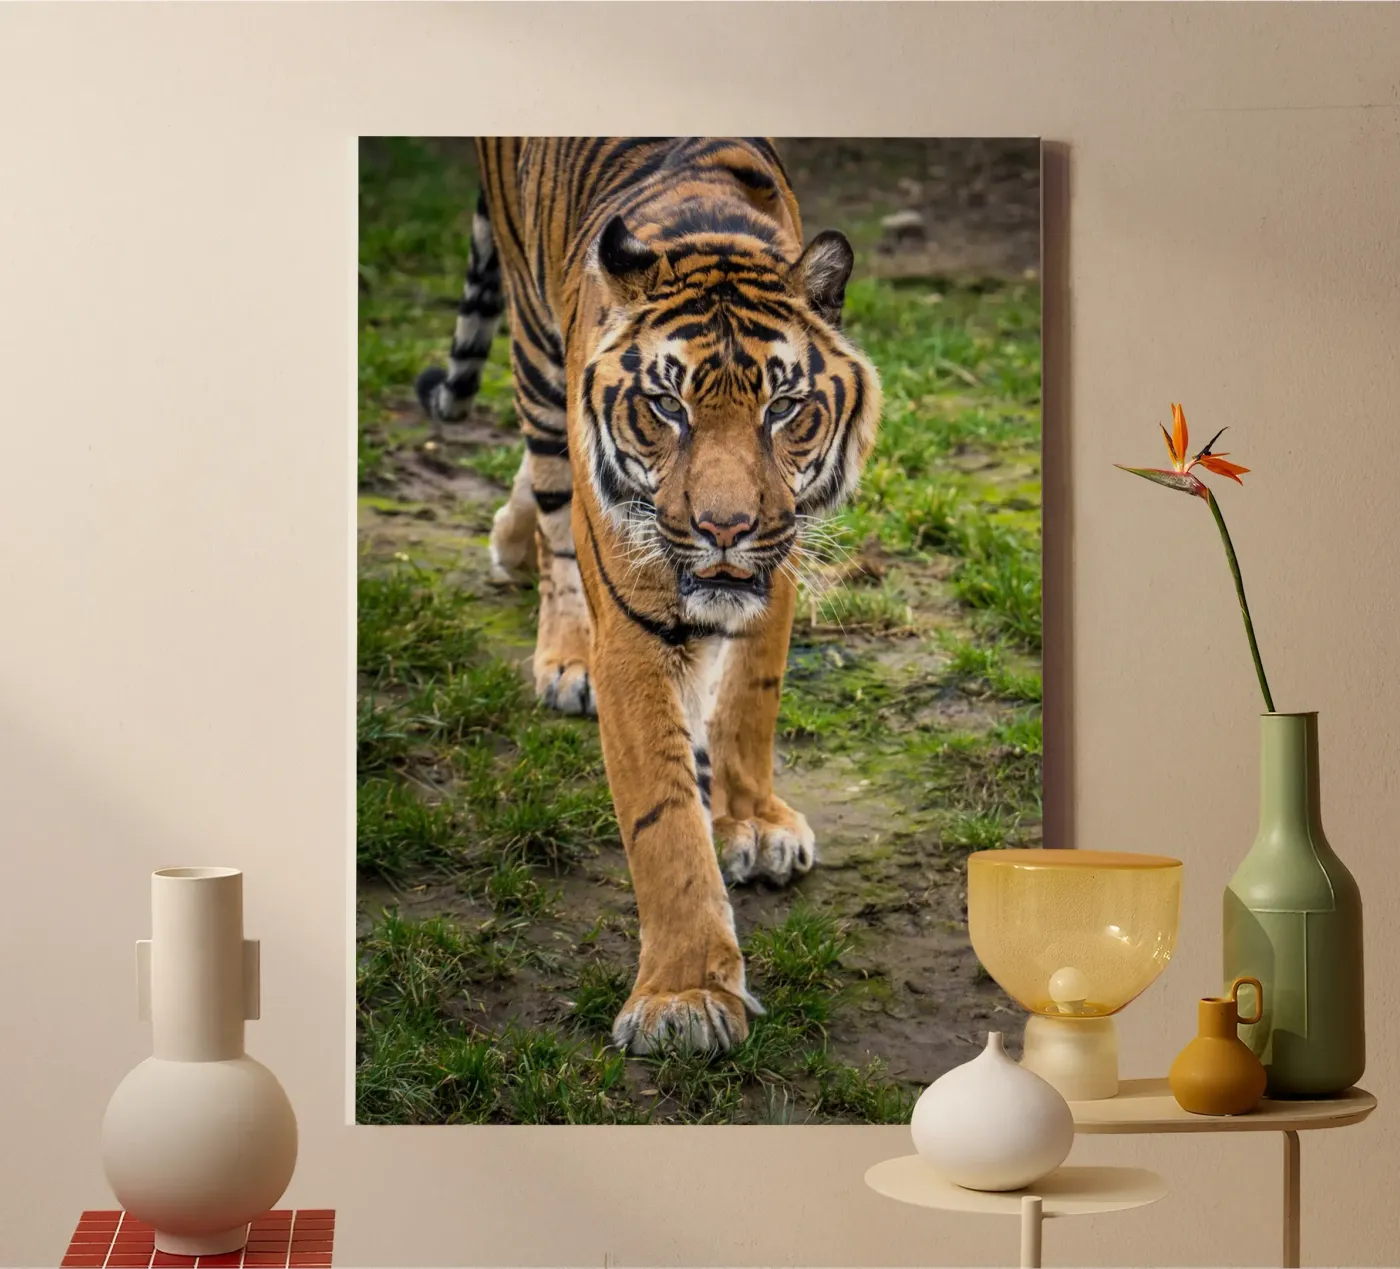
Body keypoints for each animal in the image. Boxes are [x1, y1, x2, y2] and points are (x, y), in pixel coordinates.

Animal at [416, 138, 881, 1055]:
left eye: (785, 407)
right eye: (667, 405)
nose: (726, 528)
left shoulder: (776, 566)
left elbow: (748, 703)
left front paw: (752, 821)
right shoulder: (632, 629)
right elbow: (664, 822)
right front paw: (686, 995)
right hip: (534, 360)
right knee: (556, 521)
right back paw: (558, 644)